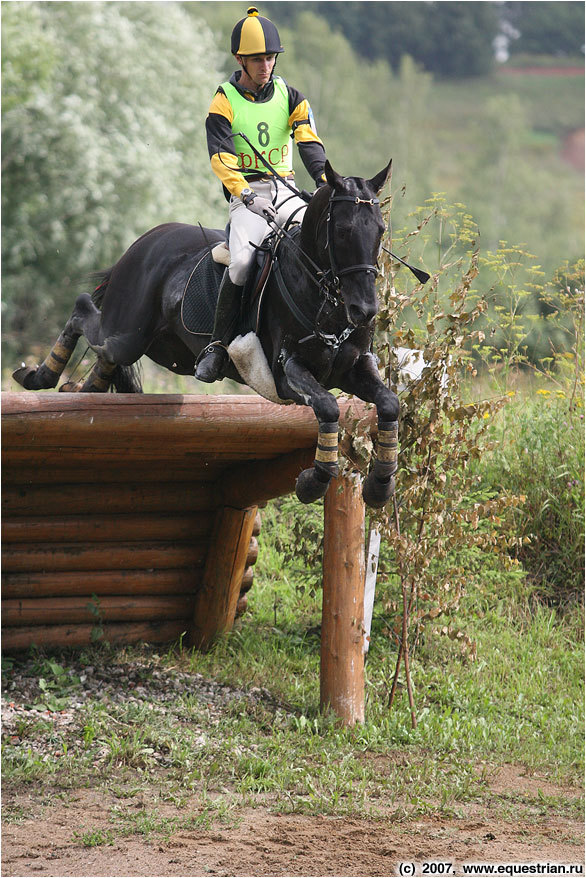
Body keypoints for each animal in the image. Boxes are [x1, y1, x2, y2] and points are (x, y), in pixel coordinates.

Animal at [12, 162, 396, 508]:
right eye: (343, 230)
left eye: (379, 230)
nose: (364, 311)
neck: (324, 298)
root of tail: (148, 238)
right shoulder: (286, 374)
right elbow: (328, 406)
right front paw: (312, 482)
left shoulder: (353, 368)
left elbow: (390, 403)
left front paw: (380, 486)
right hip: (128, 334)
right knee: (84, 311)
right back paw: (38, 375)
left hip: (165, 350)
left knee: (105, 355)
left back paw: (84, 389)